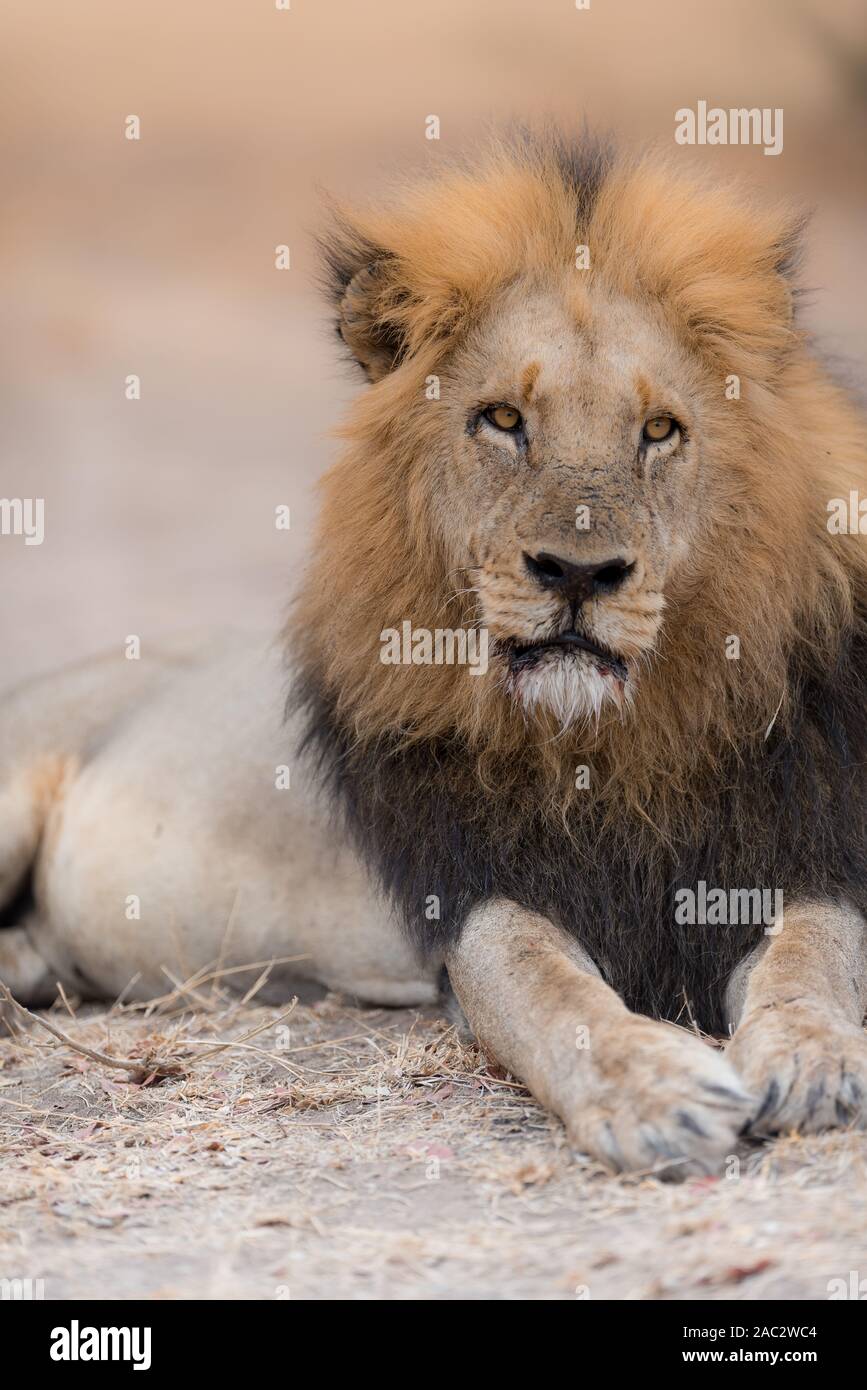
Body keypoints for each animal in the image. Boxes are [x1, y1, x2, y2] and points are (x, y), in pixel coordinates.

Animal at [3, 132, 867, 1175]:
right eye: (502, 420)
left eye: (659, 432)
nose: (578, 573)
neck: (614, 745)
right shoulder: (475, 896)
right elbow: (548, 991)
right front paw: (654, 1092)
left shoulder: (805, 848)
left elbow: (813, 957)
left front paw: (815, 1060)